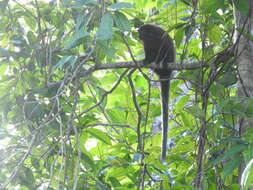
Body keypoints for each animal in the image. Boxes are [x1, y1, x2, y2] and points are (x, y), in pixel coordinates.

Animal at [138, 23, 176, 161]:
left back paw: (163, 62)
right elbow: (148, 52)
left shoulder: (159, 35)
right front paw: (146, 60)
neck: (150, 37)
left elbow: (167, 44)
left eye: (140, 32)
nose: (138, 36)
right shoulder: (147, 43)